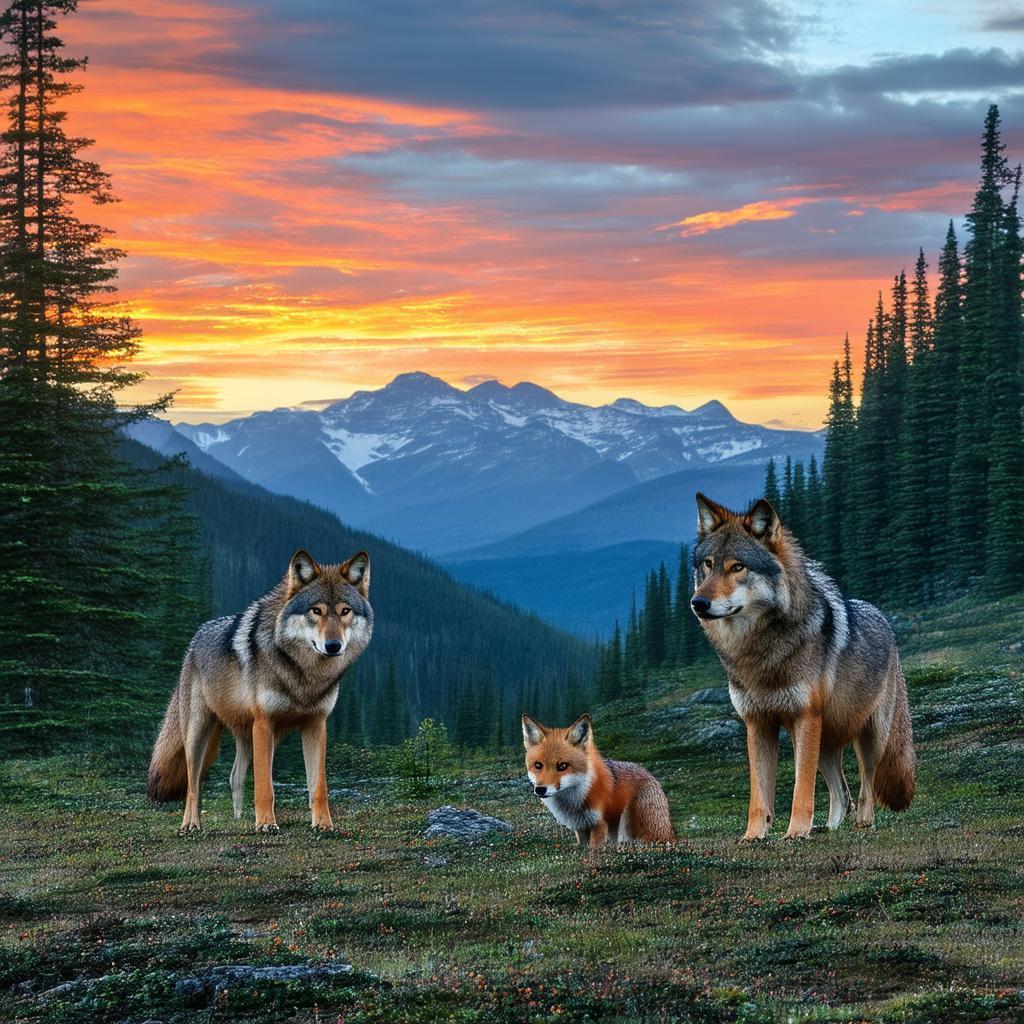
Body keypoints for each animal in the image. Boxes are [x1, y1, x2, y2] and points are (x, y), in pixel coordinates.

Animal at [148, 549, 373, 834]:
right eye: (316, 611)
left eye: (345, 611)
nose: (333, 646)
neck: (303, 675)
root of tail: (193, 641)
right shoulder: (264, 722)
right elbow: (265, 786)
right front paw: (266, 824)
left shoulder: (315, 723)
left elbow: (318, 787)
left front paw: (324, 825)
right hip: (200, 734)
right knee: (193, 785)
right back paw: (191, 825)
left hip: (251, 736)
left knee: (234, 776)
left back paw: (238, 819)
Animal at [521, 713, 676, 849]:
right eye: (538, 765)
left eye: (562, 766)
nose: (540, 789)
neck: (576, 803)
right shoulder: (581, 827)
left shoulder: (600, 823)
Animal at [690, 493, 915, 841]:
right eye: (709, 564)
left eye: (738, 567)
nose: (698, 603)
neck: (761, 653)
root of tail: (881, 616)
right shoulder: (757, 723)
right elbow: (759, 795)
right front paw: (753, 836)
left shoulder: (806, 718)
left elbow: (802, 789)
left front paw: (795, 832)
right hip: (820, 742)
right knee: (841, 792)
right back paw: (831, 829)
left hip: (870, 737)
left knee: (865, 786)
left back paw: (862, 824)